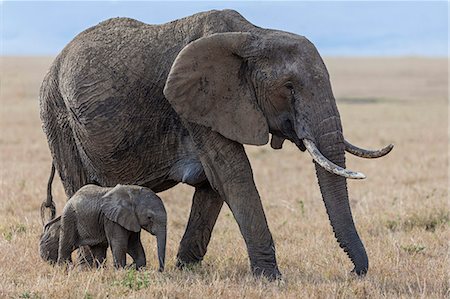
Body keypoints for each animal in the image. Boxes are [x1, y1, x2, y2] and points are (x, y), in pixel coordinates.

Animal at [39, 9, 390, 282]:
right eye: (288, 87)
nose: (352, 273)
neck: (253, 35)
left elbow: (213, 183)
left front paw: (185, 269)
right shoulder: (195, 101)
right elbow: (233, 174)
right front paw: (271, 279)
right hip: (58, 115)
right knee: (78, 183)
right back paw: (90, 267)